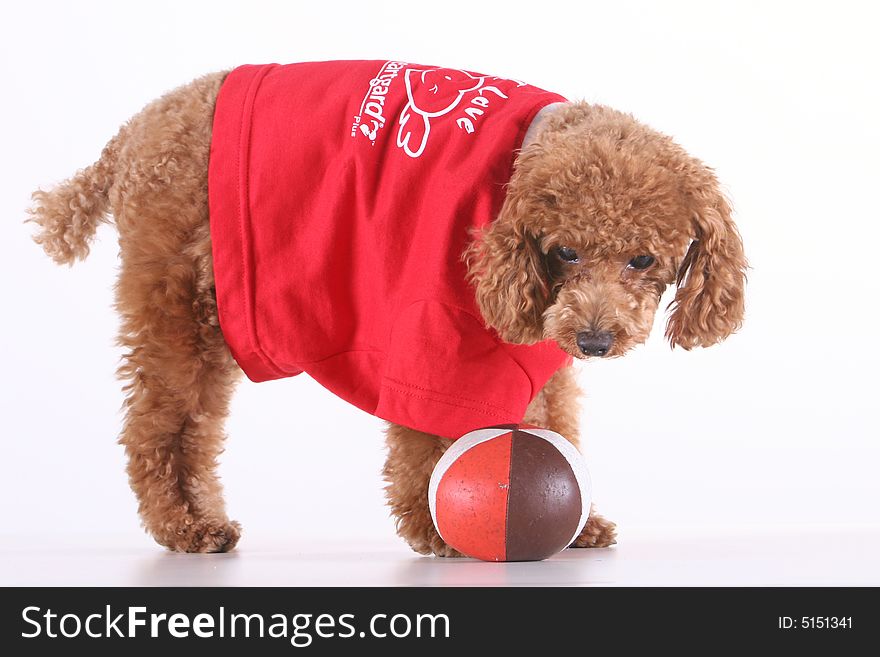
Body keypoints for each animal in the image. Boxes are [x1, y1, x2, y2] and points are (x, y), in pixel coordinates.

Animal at [27, 60, 744, 552]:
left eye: (643, 260)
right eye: (565, 251)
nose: (595, 339)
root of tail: (127, 140)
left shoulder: (539, 355)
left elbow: (553, 426)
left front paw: (579, 525)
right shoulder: (433, 332)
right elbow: (424, 444)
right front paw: (436, 530)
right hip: (182, 305)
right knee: (161, 425)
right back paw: (187, 526)